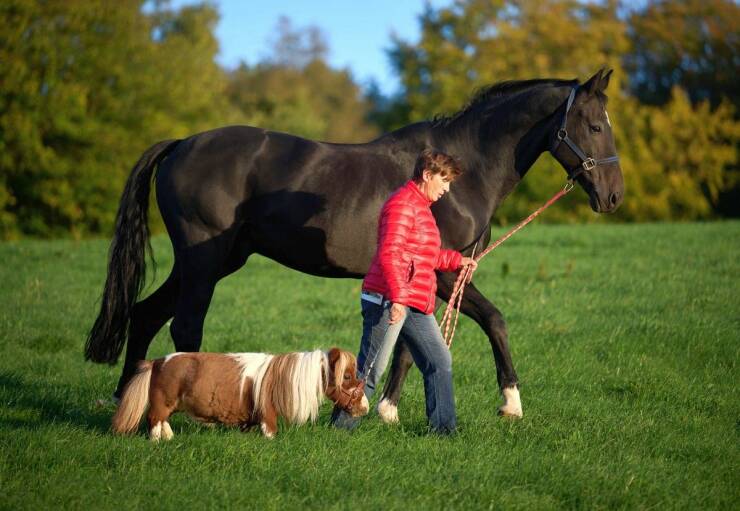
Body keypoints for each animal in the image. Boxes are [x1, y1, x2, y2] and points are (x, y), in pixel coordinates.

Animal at [89, 69, 628, 420]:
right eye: (595, 126)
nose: (614, 196)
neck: (461, 172)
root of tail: (182, 143)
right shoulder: (445, 274)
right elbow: (493, 321)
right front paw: (510, 403)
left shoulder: (428, 276)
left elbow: (411, 344)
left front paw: (384, 408)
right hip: (204, 262)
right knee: (184, 328)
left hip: (209, 261)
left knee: (145, 315)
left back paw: (126, 403)